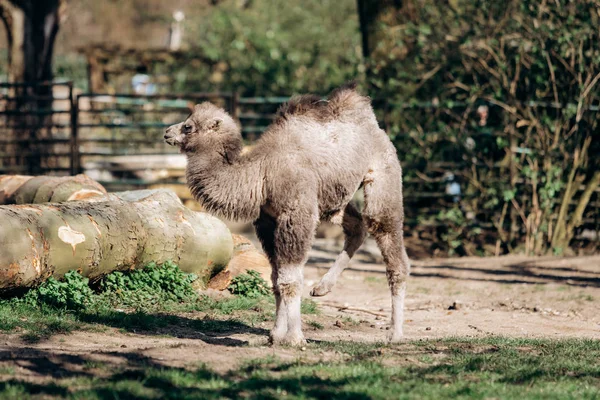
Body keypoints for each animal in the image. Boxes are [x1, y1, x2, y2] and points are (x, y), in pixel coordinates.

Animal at [164, 83, 410, 346]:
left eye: (188, 126)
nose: (167, 132)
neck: (260, 172)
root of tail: (374, 124)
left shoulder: (296, 214)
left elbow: (290, 279)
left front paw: (294, 337)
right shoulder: (267, 221)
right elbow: (275, 279)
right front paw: (275, 334)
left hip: (383, 171)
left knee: (384, 231)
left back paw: (395, 333)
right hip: (331, 199)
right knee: (357, 226)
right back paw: (322, 288)